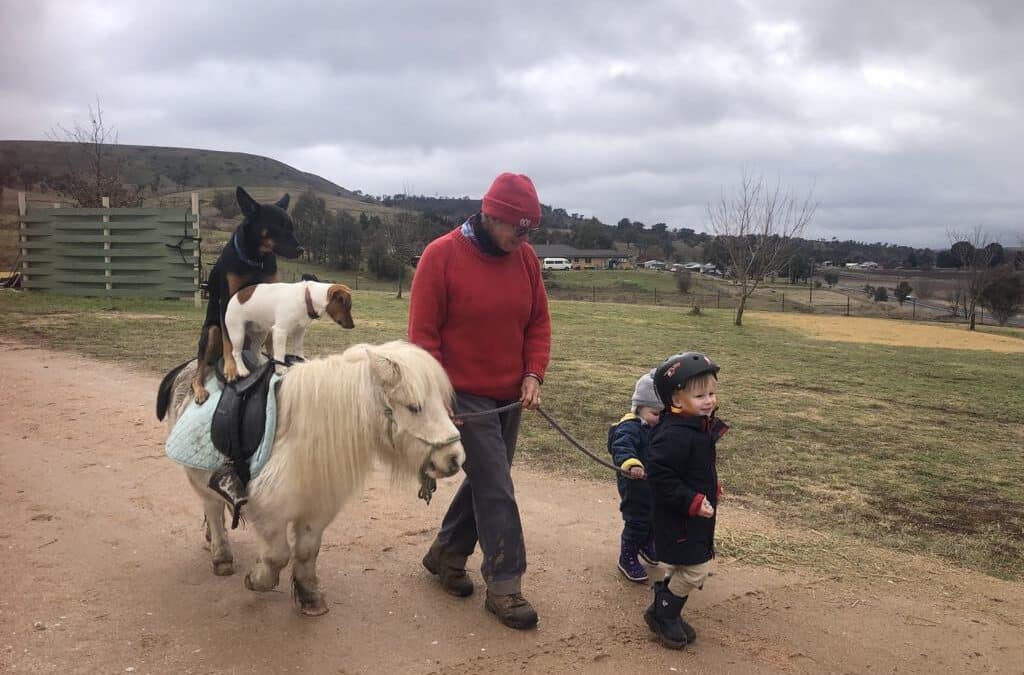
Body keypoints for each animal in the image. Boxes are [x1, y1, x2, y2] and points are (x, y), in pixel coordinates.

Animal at [159, 340, 464, 614]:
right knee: (212, 508)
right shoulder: (267, 512)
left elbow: (306, 551)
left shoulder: (317, 510)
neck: (303, 437)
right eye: (414, 407)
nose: (455, 459)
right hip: (199, 481)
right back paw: (221, 557)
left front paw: (310, 598)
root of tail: (188, 370)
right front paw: (257, 581)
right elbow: (279, 554)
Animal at [192, 187, 301, 403]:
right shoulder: (227, 300)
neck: (254, 260)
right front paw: (231, 369)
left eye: (291, 226)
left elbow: (271, 339)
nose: (301, 250)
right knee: (198, 371)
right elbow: (228, 340)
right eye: (277, 227)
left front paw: (276, 364)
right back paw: (200, 389)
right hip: (211, 332)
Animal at [222, 278, 354, 381]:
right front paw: (281, 369)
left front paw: (301, 362)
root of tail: (235, 296)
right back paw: (242, 370)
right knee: (236, 352)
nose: (353, 326)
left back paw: (263, 363)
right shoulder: (280, 331)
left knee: (254, 348)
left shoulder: (300, 331)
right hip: (238, 333)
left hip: (261, 331)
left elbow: (298, 349)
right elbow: (280, 353)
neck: (307, 298)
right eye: (346, 306)